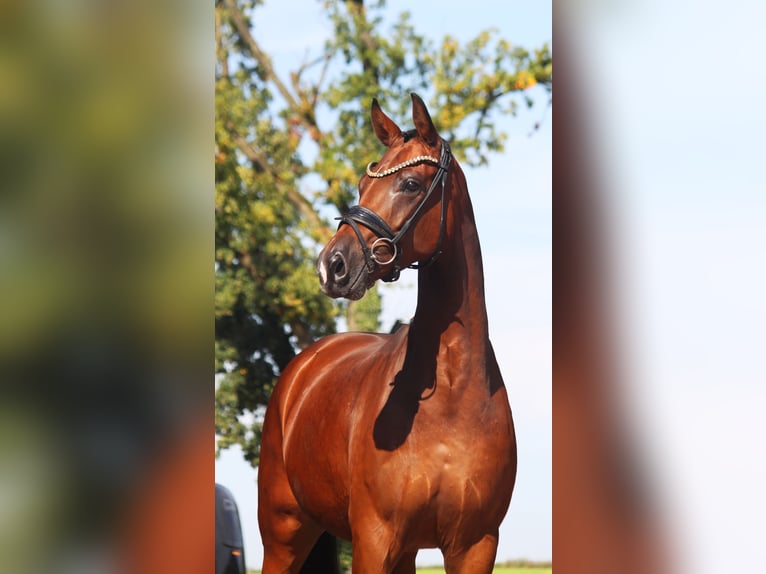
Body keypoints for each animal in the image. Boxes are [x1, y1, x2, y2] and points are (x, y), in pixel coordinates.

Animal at [260, 92, 520, 572]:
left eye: (411, 184)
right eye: (363, 186)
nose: (332, 266)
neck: (452, 396)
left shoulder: (475, 545)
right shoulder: (374, 540)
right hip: (282, 533)